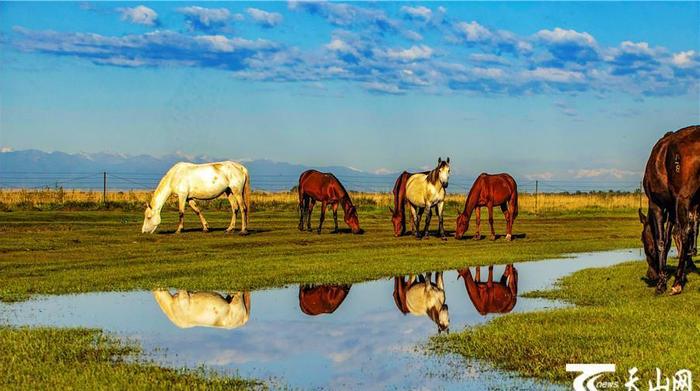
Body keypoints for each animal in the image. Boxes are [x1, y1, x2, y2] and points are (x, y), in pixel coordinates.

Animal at [644, 125, 696, 294]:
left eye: (643, 241)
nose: (651, 274)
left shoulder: (657, 204)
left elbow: (661, 240)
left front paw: (662, 282)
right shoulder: (672, 208)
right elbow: (668, 240)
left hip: (684, 199)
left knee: (685, 232)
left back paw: (677, 283)